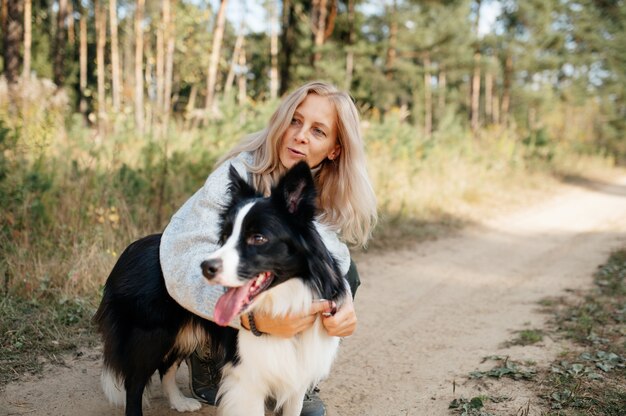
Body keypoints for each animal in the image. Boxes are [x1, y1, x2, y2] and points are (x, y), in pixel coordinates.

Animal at [94, 162, 346, 416]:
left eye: (258, 238)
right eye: (225, 236)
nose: (206, 268)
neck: (285, 301)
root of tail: (126, 254)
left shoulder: (298, 372)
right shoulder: (248, 376)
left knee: (166, 367)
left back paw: (180, 402)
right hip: (150, 334)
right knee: (135, 383)